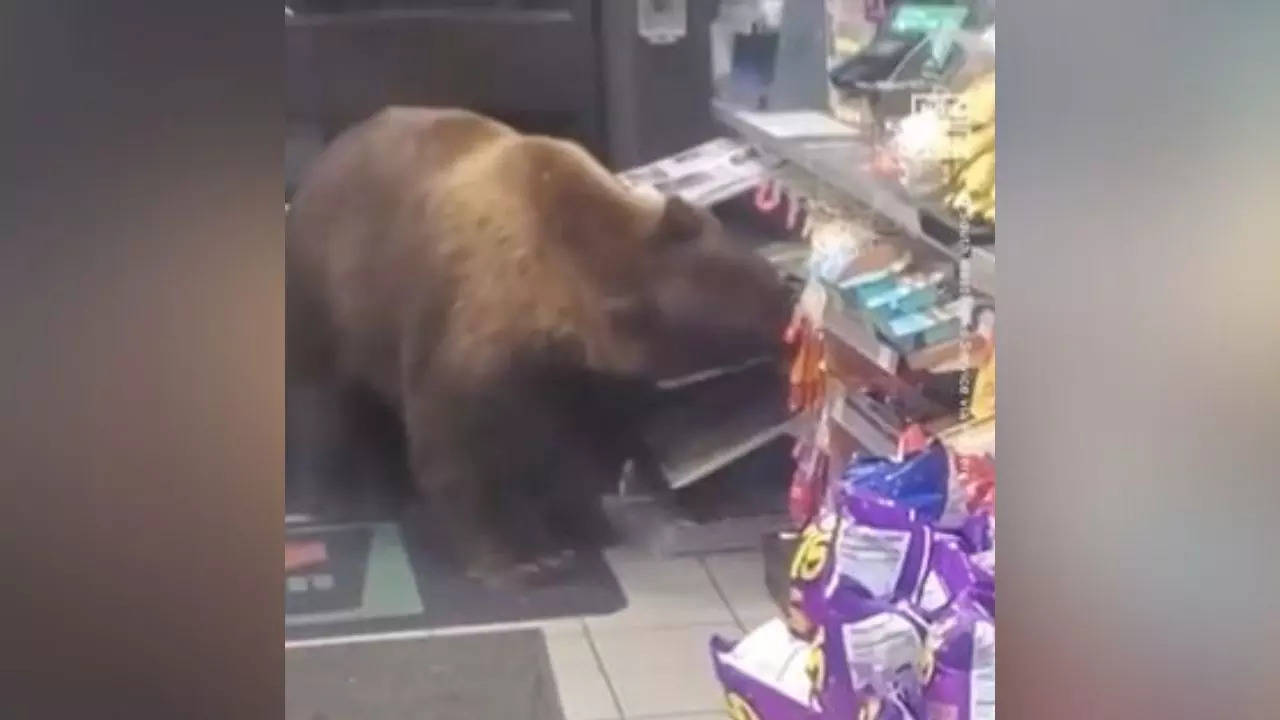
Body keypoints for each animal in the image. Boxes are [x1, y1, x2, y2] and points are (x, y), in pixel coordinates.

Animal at [286, 109, 793, 586]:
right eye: (761, 300)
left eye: (768, 277)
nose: (793, 303)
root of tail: (322, 160)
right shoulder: (469, 337)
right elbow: (457, 451)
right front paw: (521, 559)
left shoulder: (572, 375)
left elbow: (581, 442)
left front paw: (581, 519)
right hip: (332, 293)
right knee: (324, 395)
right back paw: (342, 491)